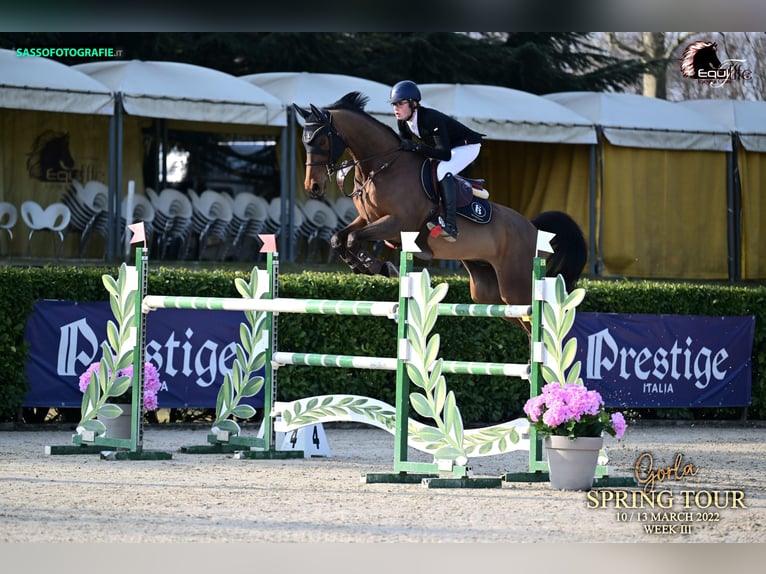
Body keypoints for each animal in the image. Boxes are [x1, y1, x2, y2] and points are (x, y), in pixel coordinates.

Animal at [294, 92, 588, 322]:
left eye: (320, 140)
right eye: (305, 142)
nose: (313, 187)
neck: (381, 167)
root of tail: (532, 227)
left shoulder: (398, 224)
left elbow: (354, 238)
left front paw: (373, 265)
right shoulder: (368, 219)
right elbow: (339, 238)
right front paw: (362, 265)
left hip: (516, 285)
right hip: (488, 290)